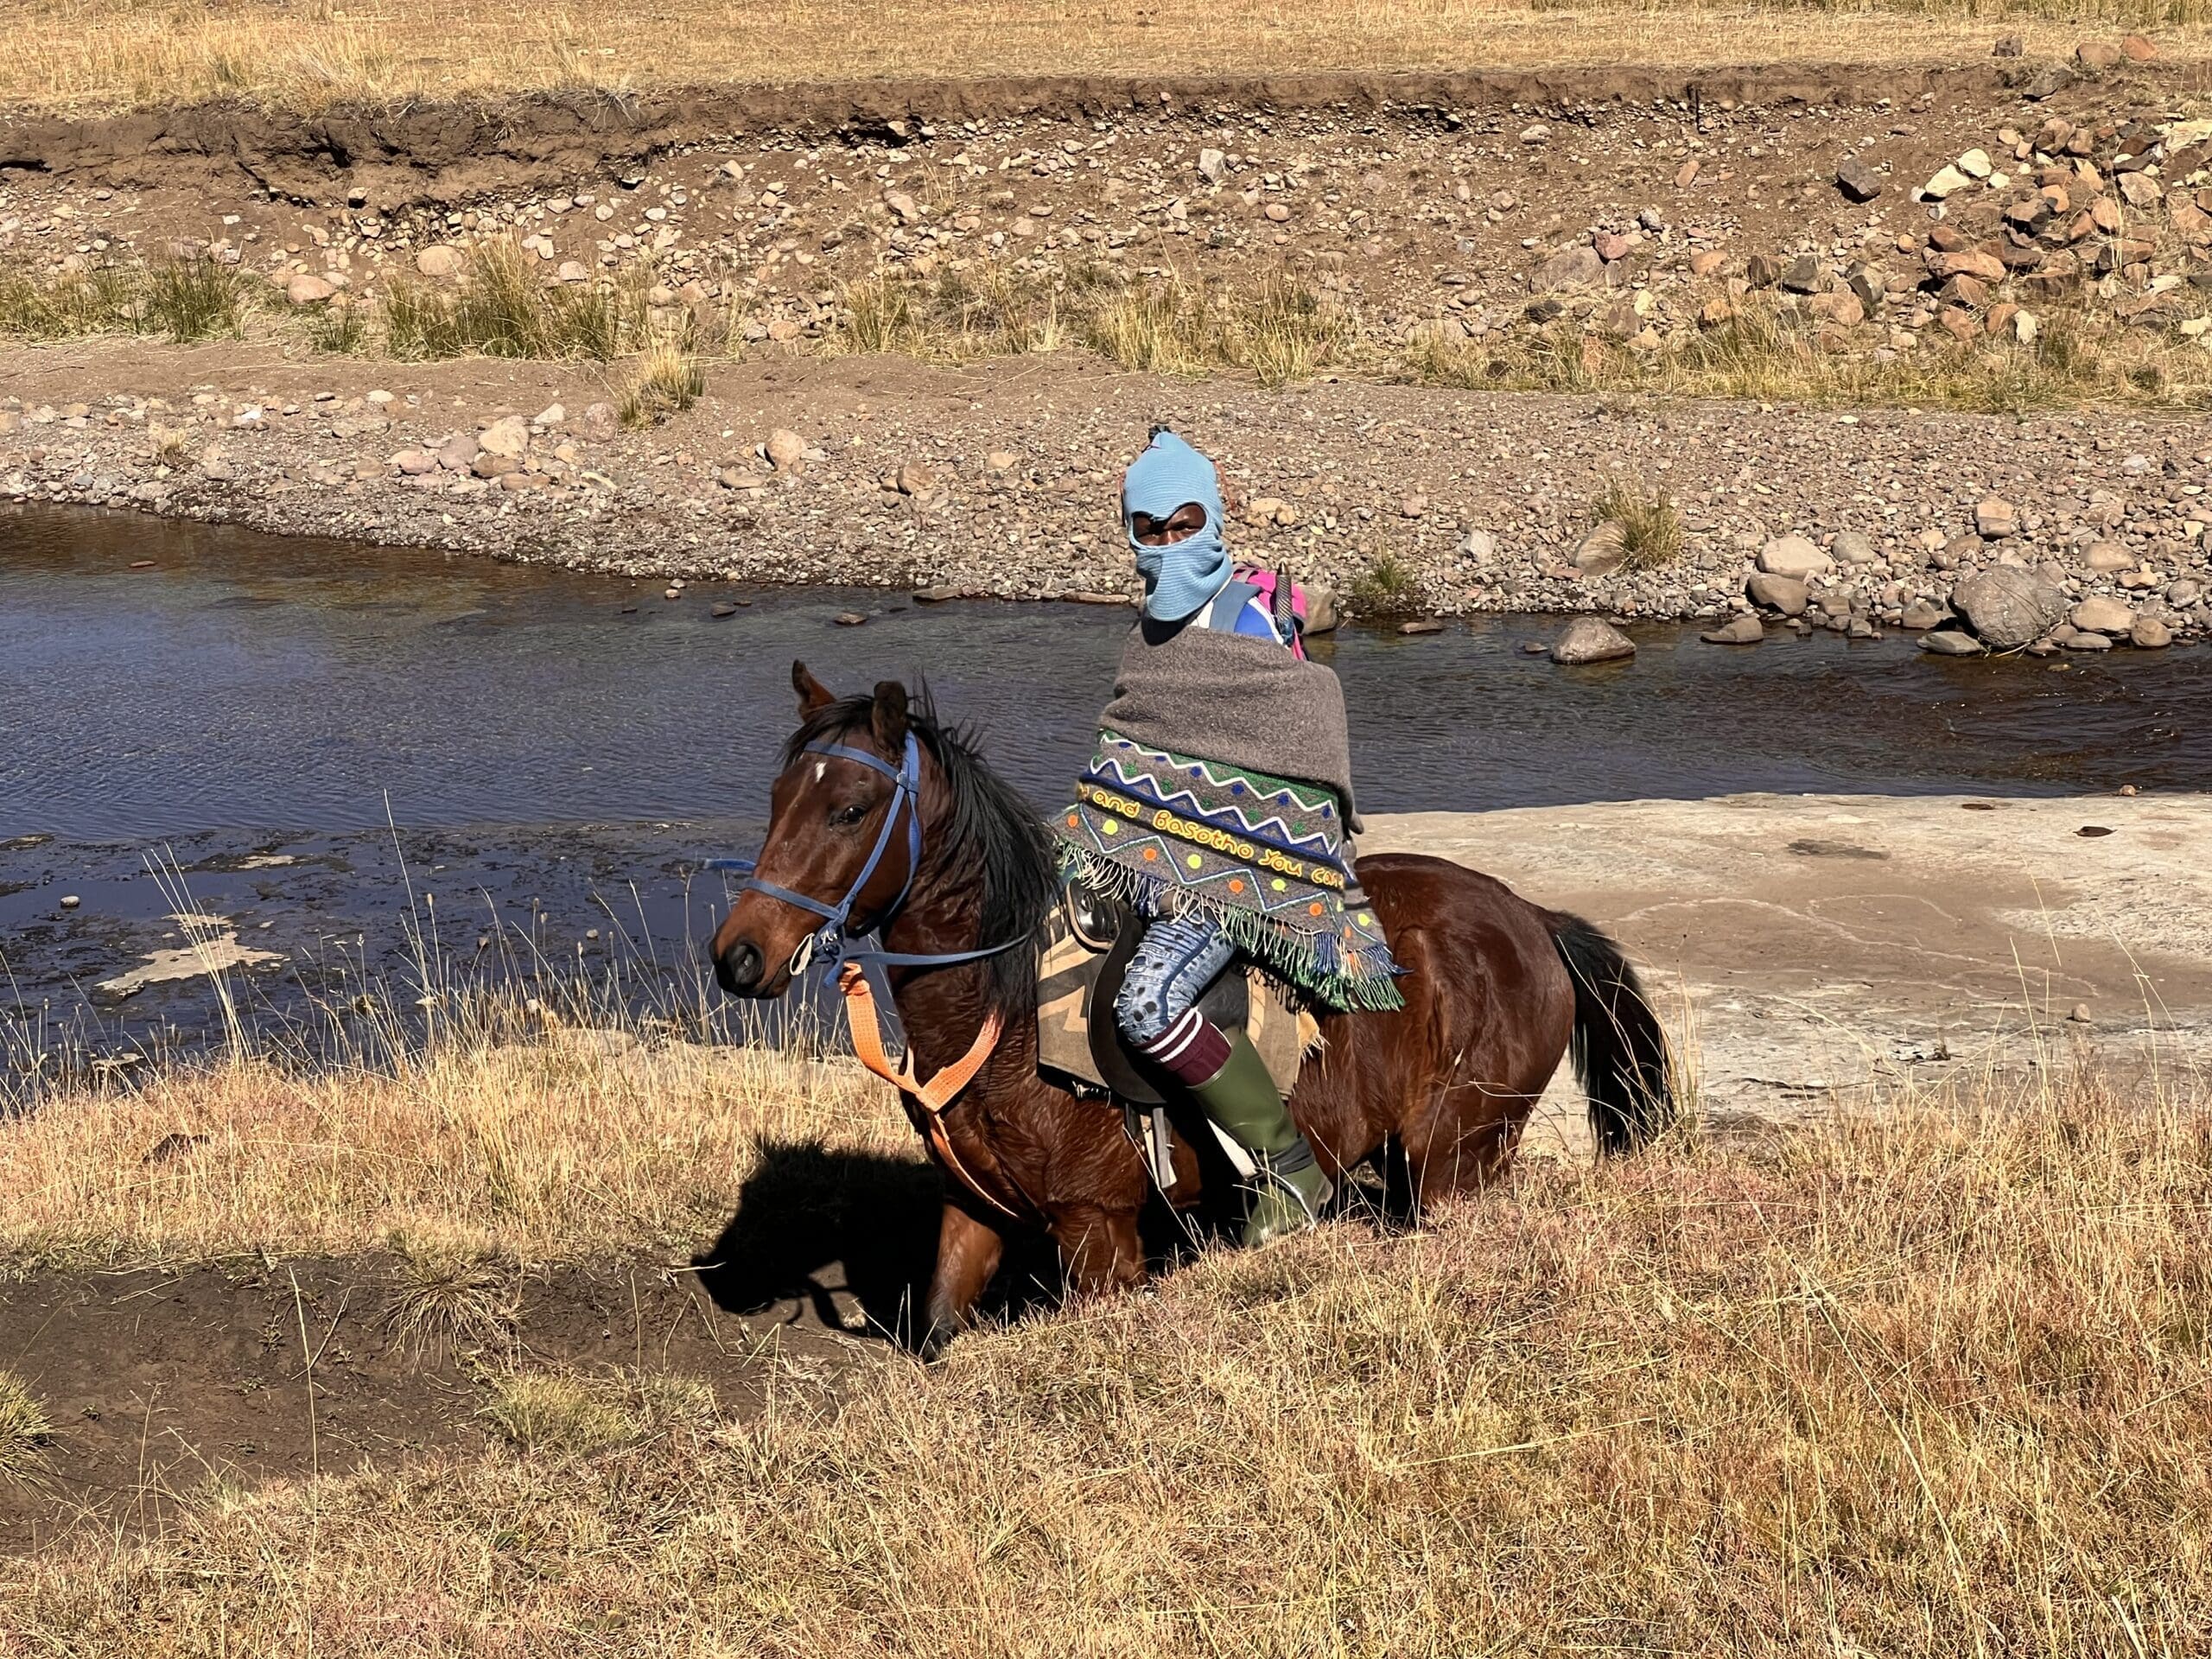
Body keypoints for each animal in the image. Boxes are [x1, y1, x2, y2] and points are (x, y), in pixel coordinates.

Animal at [711, 662, 1673, 1349]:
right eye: (779, 798)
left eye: (849, 809)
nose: (739, 956)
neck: (1004, 1013)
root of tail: (1531, 918)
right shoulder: (971, 1215)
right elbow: (941, 1330)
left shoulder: (1099, 1232)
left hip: (1459, 1156)